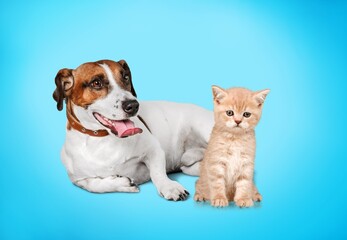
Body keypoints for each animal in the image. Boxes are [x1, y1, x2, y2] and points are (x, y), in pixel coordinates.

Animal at [53, 60, 215, 201]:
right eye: (96, 83)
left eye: (125, 77)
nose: (133, 105)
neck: (103, 140)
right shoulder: (77, 179)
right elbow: (93, 185)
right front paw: (122, 183)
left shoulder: (154, 150)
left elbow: (157, 172)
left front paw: (169, 187)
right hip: (190, 167)